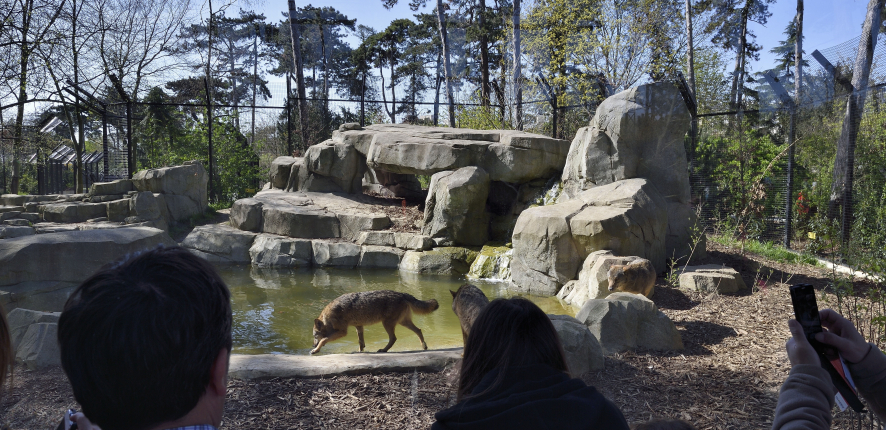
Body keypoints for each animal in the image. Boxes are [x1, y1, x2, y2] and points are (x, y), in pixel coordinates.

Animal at [312, 290, 440, 354]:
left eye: (314, 336)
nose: (312, 345)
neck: (328, 317)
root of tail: (402, 294)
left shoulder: (343, 332)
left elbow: (324, 340)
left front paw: (315, 350)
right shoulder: (359, 326)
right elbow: (361, 342)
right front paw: (360, 352)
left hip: (387, 324)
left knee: (393, 338)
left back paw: (383, 350)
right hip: (403, 322)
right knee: (419, 330)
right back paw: (424, 346)